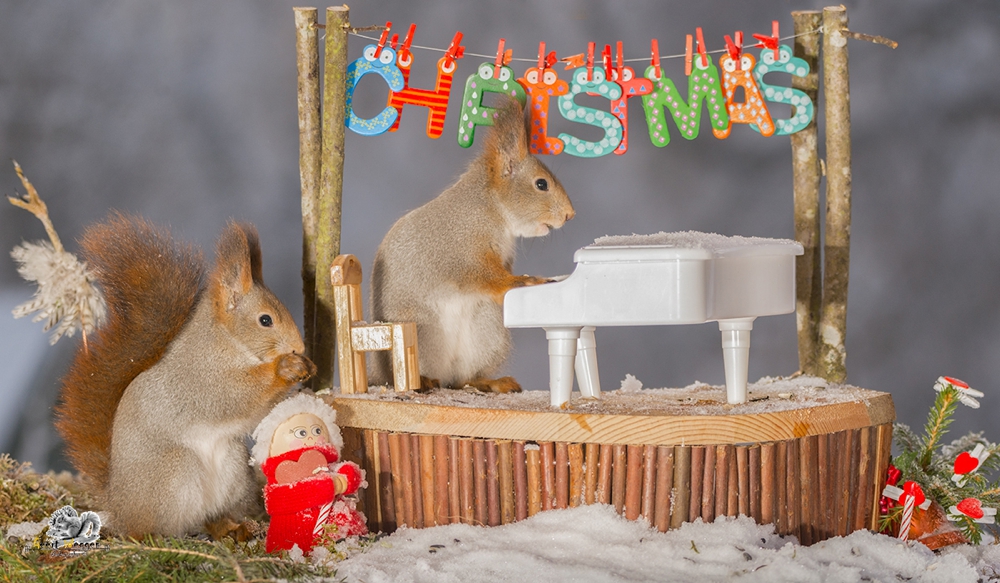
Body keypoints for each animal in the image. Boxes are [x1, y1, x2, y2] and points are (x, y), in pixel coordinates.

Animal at [55, 213, 312, 540]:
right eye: (265, 320)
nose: (299, 347)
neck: (227, 341)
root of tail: (119, 504)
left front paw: (306, 367)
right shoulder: (203, 379)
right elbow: (239, 396)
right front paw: (285, 368)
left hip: (233, 468)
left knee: (210, 515)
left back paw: (232, 528)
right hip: (177, 472)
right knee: (154, 525)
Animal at [370, 98, 576, 394]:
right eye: (541, 184)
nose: (570, 214)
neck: (493, 210)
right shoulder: (462, 250)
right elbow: (485, 275)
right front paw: (523, 281)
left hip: (487, 329)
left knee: (462, 379)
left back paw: (489, 381)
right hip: (420, 329)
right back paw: (423, 380)